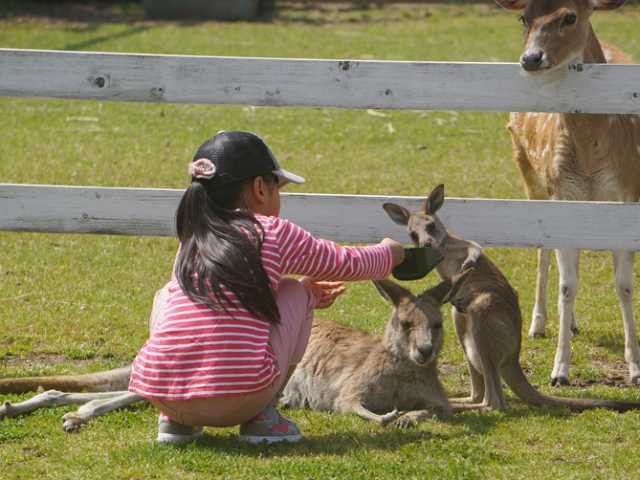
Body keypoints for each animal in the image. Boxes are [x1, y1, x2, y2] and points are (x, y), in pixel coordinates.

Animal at [498, 0, 640, 386]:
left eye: (570, 16)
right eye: (523, 16)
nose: (531, 58)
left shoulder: (624, 196)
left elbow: (624, 285)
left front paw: (635, 367)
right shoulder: (561, 192)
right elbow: (567, 285)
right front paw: (559, 370)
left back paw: (571, 322)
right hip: (529, 172)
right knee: (545, 253)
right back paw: (538, 324)